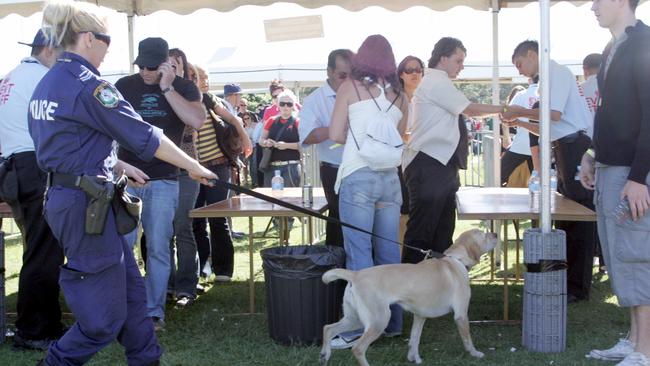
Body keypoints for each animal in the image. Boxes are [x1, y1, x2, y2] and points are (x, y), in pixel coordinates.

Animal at [318, 230, 496, 364]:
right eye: (483, 234)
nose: (495, 234)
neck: (456, 260)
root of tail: (355, 274)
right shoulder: (461, 314)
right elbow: (467, 338)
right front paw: (475, 353)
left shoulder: (420, 316)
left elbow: (414, 339)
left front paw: (414, 358)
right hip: (378, 320)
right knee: (358, 348)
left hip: (354, 318)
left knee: (328, 328)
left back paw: (324, 356)